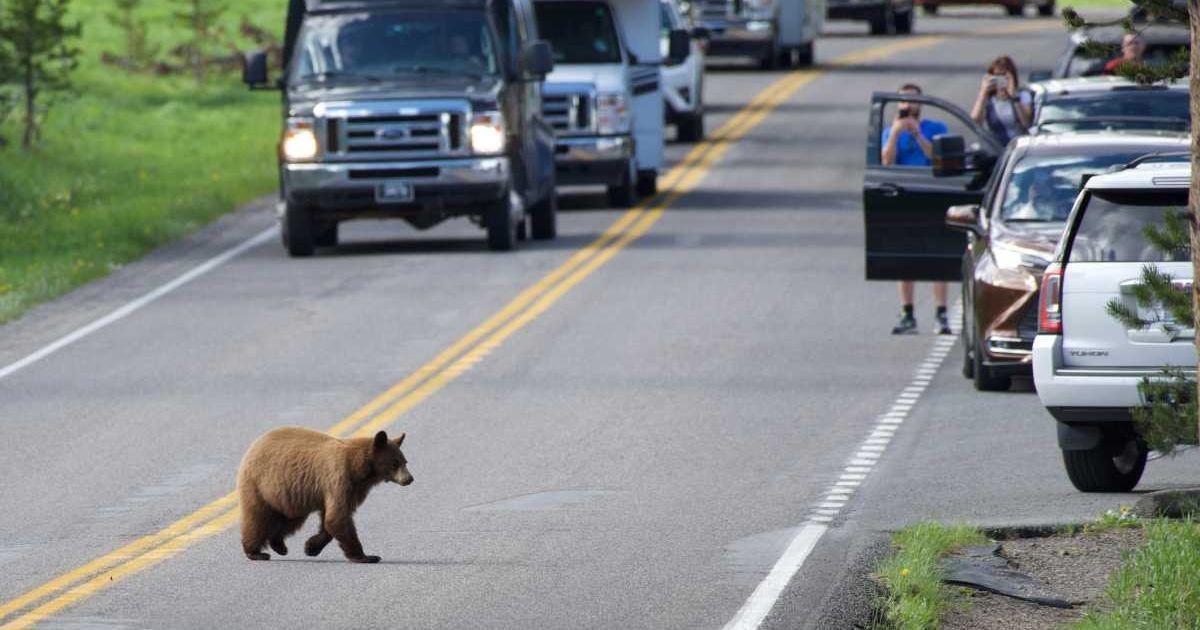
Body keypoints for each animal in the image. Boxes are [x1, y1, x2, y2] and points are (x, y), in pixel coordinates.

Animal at [236, 427, 412, 563]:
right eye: (395, 463)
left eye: (405, 461)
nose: (409, 479)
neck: (359, 469)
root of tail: (254, 445)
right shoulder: (339, 479)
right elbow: (337, 517)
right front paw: (367, 557)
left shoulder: (352, 489)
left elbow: (332, 519)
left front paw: (311, 547)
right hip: (260, 485)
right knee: (257, 517)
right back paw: (255, 552)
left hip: (290, 495)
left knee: (290, 519)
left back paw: (278, 545)